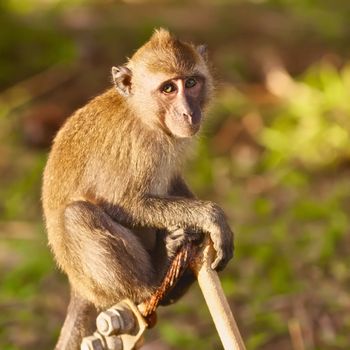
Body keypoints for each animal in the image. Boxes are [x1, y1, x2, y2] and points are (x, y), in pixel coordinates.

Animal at [43, 28, 232, 348]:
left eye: (191, 83)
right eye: (168, 89)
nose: (188, 113)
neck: (145, 115)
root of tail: (76, 285)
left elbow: (171, 181)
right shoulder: (139, 145)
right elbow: (125, 202)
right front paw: (211, 216)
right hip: (95, 283)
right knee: (77, 214)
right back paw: (154, 278)